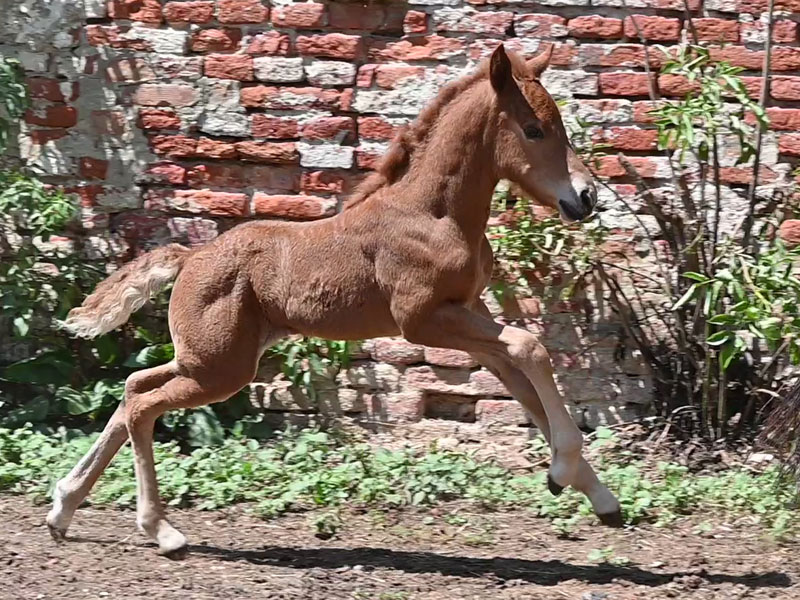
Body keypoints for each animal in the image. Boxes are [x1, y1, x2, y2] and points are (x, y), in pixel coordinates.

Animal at [47, 44, 622, 557]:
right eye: (534, 129)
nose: (586, 198)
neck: (431, 213)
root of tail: (190, 256)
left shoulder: (470, 314)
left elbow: (526, 389)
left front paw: (601, 498)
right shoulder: (424, 321)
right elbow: (531, 347)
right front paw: (560, 473)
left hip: (210, 358)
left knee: (132, 388)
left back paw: (64, 507)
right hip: (220, 368)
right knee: (144, 404)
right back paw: (160, 531)